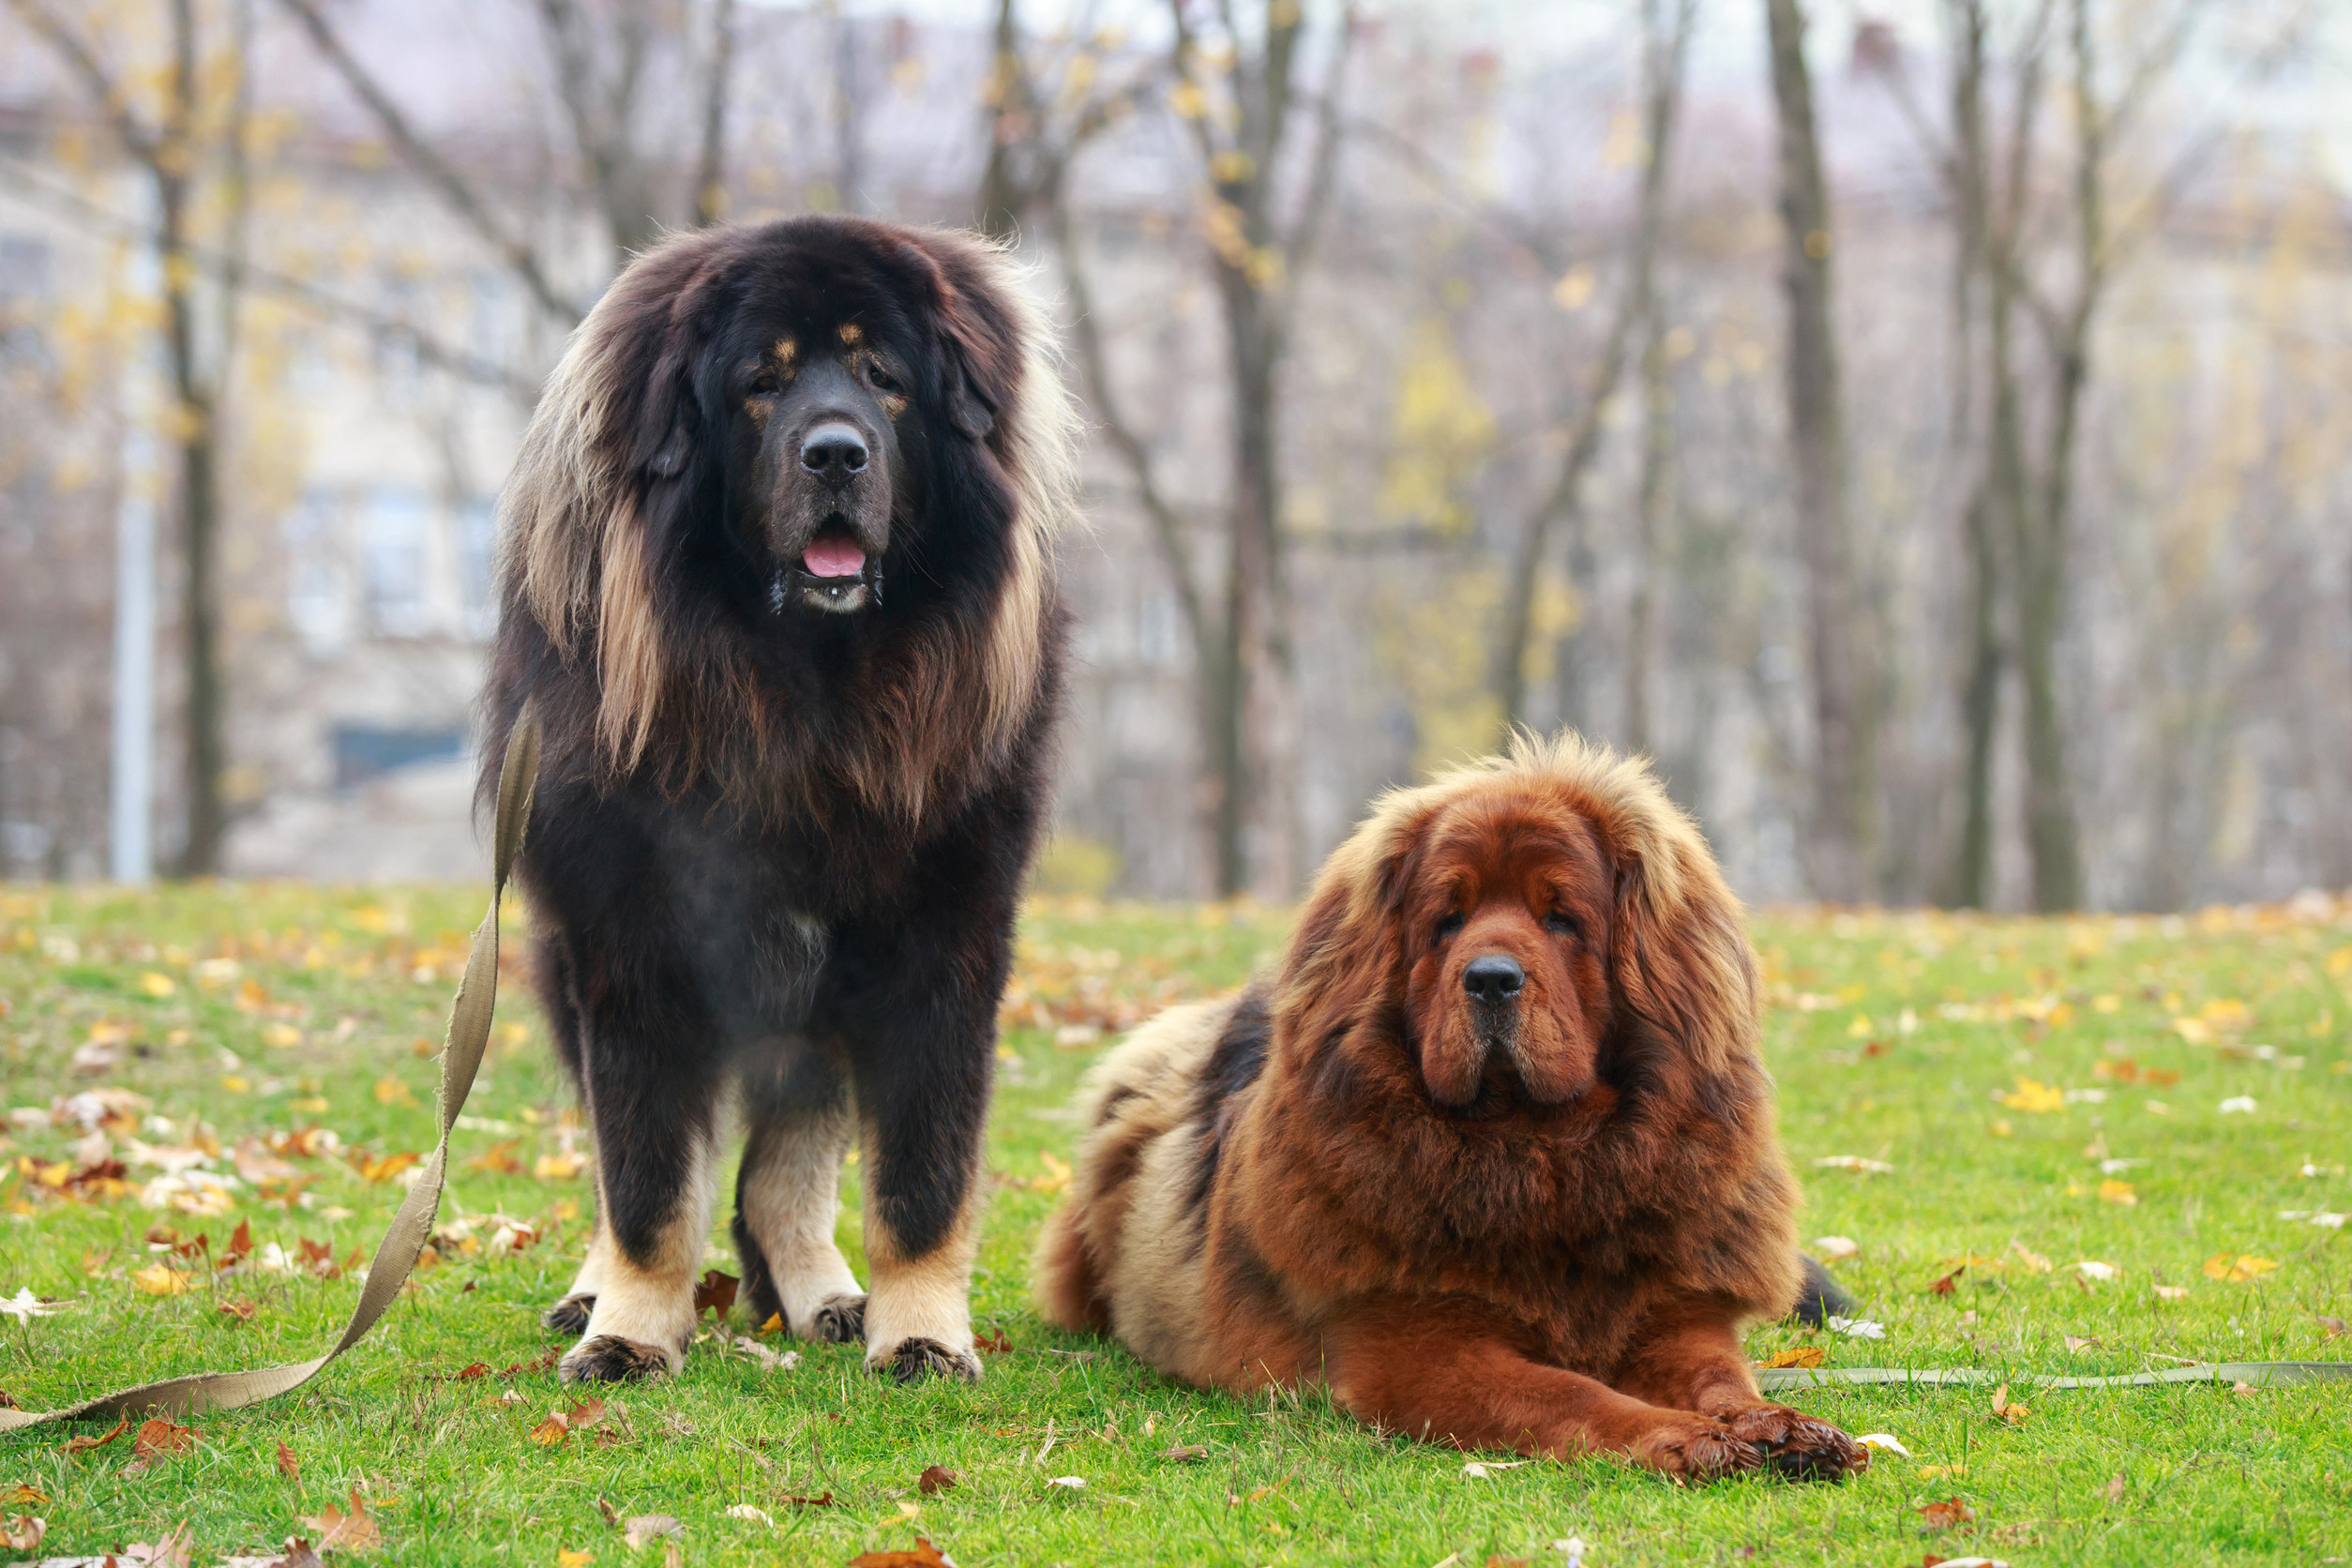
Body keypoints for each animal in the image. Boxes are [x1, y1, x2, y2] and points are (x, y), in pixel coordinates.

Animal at [487, 220, 1077, 1381]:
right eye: (762, 384)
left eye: (884, 378)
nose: (836, 453)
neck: (805, 706)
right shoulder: (632, 945)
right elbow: (648, 1181)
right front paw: (632, 1327)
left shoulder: (939, 945)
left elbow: (922, 1179)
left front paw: (922, 1331)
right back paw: (595, 1292)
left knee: (780, 1174)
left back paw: (824, 1294)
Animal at [1039, 738, 1862, 1485]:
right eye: (1448, 919)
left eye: (1561, 917)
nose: (1491, 978)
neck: (1540, 1159)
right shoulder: (1415, 1344)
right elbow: (1572, 1394)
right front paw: (1684, 1438)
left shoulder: (1677, 1315)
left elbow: (1719, 1378)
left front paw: (1778, 1426)